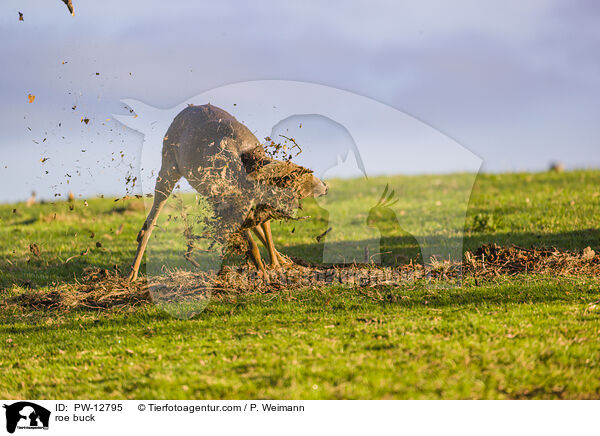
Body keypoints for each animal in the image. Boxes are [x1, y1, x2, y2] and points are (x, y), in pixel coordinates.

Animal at [123, 104, 326, 282]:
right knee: (151, 220)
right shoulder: (229, 203)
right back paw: (132, 274)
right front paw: (264, 274)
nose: (324, 186)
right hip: (168, 166)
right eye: (297, 178)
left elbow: (264, 230)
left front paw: (276, 266)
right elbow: (253, 242)